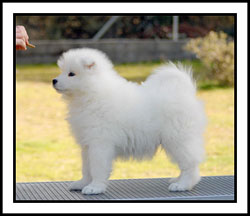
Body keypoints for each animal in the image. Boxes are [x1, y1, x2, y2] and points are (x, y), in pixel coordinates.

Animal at [52, 48, 207, 195]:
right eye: (62, 71)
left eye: (71, 74)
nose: (54, 80)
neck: (92, 93)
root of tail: (186, 93)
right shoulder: (87, 144)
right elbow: (86, 168)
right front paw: (82, 183)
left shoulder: (100, 143)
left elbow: (97, 168)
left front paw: (95, 187)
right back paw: (177, 179)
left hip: (178, 139)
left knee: (190, 164)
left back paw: (183, 184)